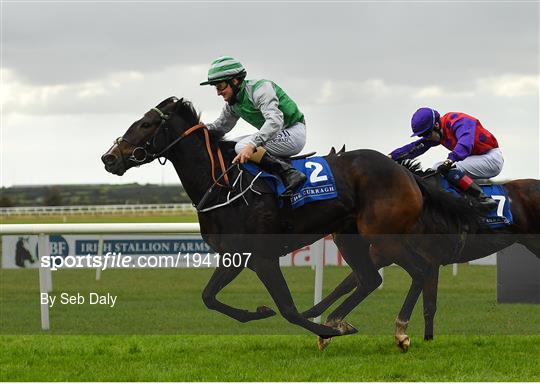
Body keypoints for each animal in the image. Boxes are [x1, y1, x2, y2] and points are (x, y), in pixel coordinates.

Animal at [99, 97, 488, 340]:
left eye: (146, 124)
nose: (109, 158)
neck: (223, 184)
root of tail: (405, 172)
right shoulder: (237, 256)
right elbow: (209, 297)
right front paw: (259, 313)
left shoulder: (263, 257)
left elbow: (286, 307)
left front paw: (321, 330)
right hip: (349, 235)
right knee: (370, 279)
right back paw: (340, 321)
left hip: (384, 236)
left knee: (419, 270)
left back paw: (398, 330)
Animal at [302, 160, 536, 350]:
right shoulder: (382, 254)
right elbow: (347, 284)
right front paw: (312, 316)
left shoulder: (431, 260)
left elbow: (428, 305)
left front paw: (423, 339)